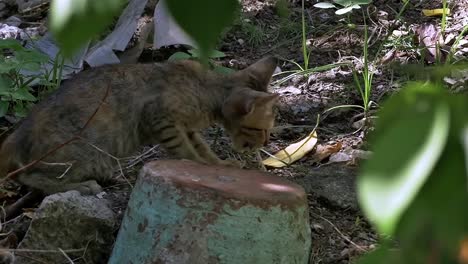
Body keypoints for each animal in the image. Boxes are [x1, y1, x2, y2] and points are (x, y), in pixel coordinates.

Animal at [0, 55, 278, 195]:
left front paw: (219, 163)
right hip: (83, 155)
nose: (266, 141)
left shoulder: (187, 128)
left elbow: (203, 149)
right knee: (29, 176)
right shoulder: (163, 120)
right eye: (259, 129)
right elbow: (188, 152)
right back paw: (82, 186)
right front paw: (201, 165)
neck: (205, 88)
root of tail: (15, 135)